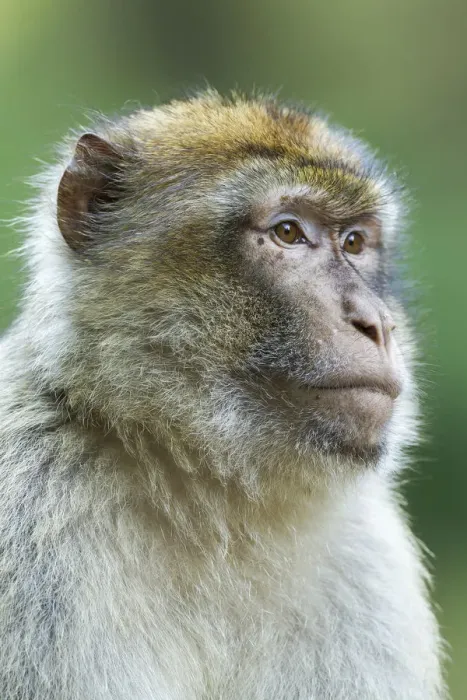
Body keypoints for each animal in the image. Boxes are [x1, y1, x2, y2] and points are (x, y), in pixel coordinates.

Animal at [0, 90, 447, 700]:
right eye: (288, 233)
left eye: (355, 241)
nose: (377, 323)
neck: (216, 501)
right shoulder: (27, 508)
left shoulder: (370, 559)